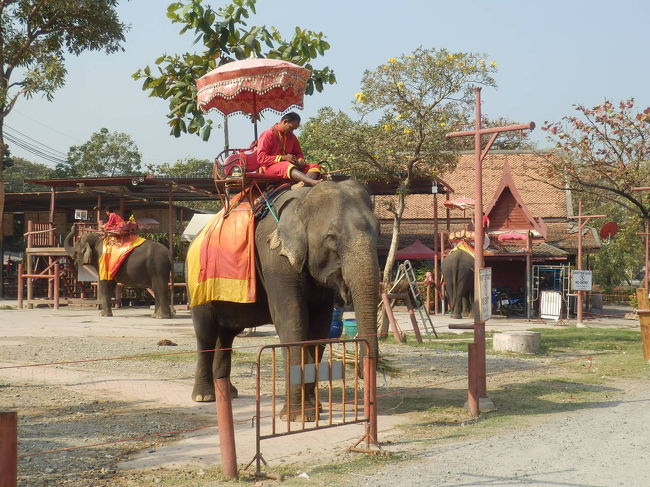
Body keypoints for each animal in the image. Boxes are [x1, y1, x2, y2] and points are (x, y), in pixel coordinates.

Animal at [187, 181, 380, 422]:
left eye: (379, 231)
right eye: (331, 237)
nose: (363, 370)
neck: (304, 198)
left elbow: (319, 328)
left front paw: (314, 410)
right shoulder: (275, 259)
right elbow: (291, 320)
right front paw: (297, 416)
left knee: (227, 335)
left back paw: (228, 393)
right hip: (197, 284)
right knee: (205, 333)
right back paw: (204, 396)